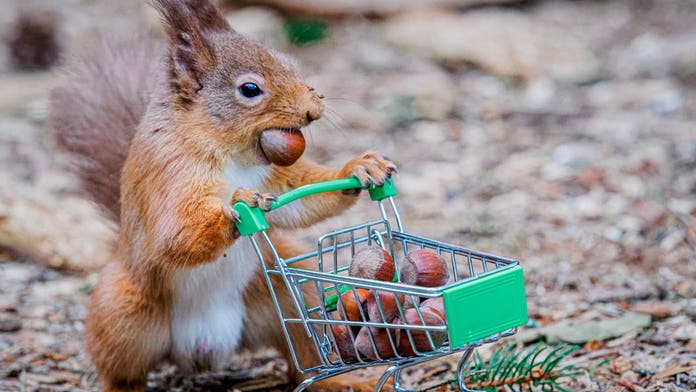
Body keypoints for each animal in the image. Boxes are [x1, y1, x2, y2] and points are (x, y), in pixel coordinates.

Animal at [49, 1, 394, 390]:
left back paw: (342, 380)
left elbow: (302, 198)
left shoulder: (275, 178)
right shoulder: (171, 171)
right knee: (122, 373)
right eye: (250, 89)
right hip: (121, 313)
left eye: (288, 62)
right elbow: (174, 233)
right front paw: (238, 203)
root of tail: (203, 347)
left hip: (288, 290)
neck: (232, 154)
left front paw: (360, 168)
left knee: (302, 356)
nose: (312, 109)